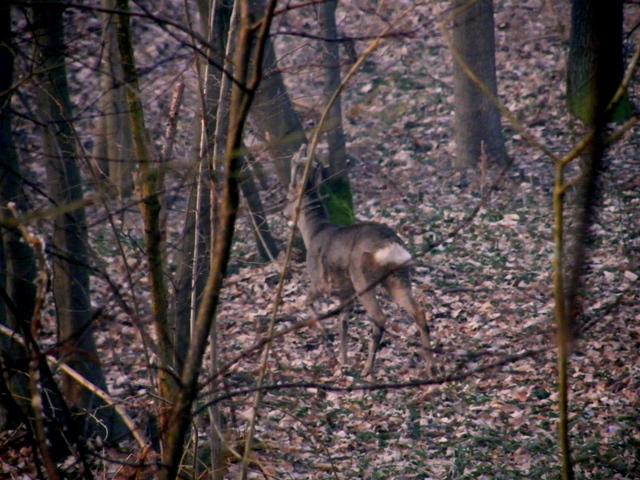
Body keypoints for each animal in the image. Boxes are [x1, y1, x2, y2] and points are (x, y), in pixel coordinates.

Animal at [284, 146, 436, 376]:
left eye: (289, 194)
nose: (285, 215)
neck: (313, 232)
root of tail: (390, 245)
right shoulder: (345, 288)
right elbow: (343, 322)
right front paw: (343, 360)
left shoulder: (320, 280)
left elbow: (306, 301)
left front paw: (327, 338)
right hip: (398, 277)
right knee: (418, 311)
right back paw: (431, 367)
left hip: (362, 276)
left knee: (380, 317)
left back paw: (367, 369)